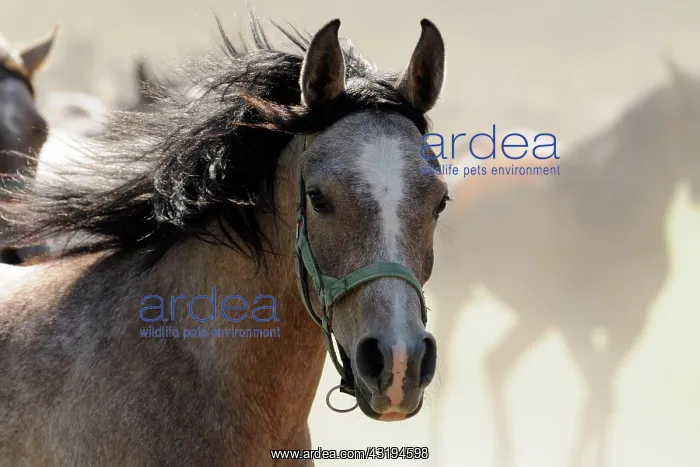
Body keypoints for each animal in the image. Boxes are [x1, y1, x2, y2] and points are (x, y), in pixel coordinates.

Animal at [427, 60, 700, 467]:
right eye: (685, 116)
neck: (615, 208)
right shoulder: (576, 324)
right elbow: (600, 398)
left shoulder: (629, 324)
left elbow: (599, 403)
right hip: (456, 298)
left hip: (535, 315)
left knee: (496, 364)